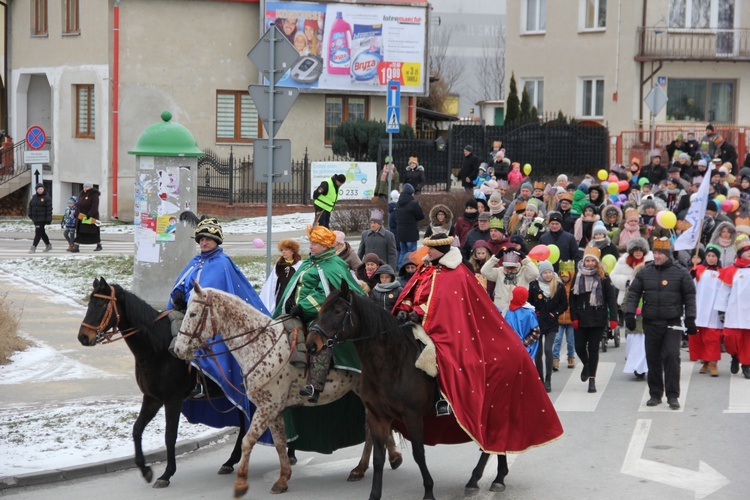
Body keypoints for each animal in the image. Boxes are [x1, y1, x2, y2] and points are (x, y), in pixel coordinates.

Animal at [78, 280, 250, 490]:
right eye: (89, 303)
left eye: (101, 304)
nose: (83, 337)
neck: (156, 348)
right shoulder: (152, 398)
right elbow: (137, 429)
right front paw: (145, 470)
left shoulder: (172, 400)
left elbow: (170, 435)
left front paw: (166, 474)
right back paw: (231, 461)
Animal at [173, 284, 402, 498]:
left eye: (193, 313)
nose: (177, 349)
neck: (261, 344)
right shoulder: (273, 409)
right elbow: (280, 443)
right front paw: (282, 479)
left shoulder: (267, 406)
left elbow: (248, 440)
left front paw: (240, 484)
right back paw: (382, 460)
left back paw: (366, 465)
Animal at [306, 282, 512, 500]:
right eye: (321, 310)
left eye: (337, 311)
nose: (311, 344)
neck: (390, 363)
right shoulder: (377, 415)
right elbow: (378, 458)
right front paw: (374, 494)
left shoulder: (412, 415)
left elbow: (418, 453)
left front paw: (429, 491)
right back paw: (497, 477)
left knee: (493, 441)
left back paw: (482, 479)